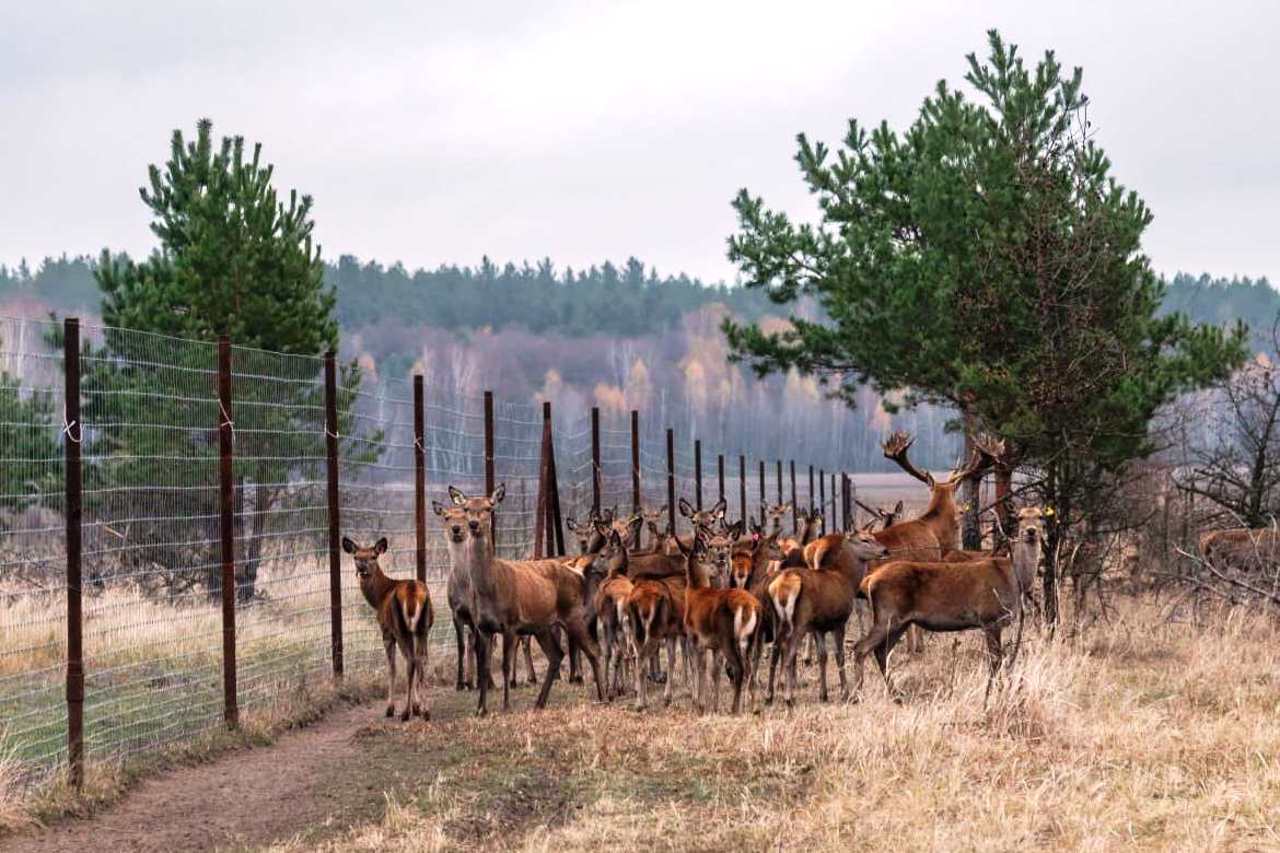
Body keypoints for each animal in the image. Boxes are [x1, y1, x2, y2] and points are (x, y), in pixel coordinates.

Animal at [340, 535, 435, 722]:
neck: (379, 598)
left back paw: (405, 712)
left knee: (410, 661)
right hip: (422, 628)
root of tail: (413, 592)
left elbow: (391, 668)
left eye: (373, 556)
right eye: (356, 556)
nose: (361, 567)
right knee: (421, 659)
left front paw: (390, 708)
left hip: (400, 628)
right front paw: (418, 707)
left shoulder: (386, 632)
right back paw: (426, 711)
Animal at [435, 481, 604, 712]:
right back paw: (539, 703)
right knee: (557, 655)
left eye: (489, 507)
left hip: (574, 615)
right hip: (542, 626)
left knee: (593, 650)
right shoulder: (483, 627)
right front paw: (481, 709)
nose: (472, 524)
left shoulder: (510, 623)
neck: (490, 587)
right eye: (467, 508)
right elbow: (485, 665)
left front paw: (506, 705)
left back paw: (604, 696)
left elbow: (505, 665)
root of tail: (576, 572)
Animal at [675, 522, 762, 712]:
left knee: (739, 668)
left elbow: (699, 669)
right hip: (750, 639)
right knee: (750, 669)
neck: (694, 592)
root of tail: (750, 606)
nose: (721, 560)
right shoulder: (714, 647)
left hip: (728, 637)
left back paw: (735, 709)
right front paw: (713, 706)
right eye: (710, 548)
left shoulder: (696, 638)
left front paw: (700, 705)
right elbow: (714, 672)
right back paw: (753, 707)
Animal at [768, 527, 890, 701]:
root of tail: (781, 588)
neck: (847, 580)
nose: (884, 550)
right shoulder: (839, 621)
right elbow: (839, 655)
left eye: (873, 536)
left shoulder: (819, 626)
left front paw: (823, 694)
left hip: (777, 620)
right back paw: (788, 696)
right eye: (864, 540)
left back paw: (769, 695)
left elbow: (822, 656)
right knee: (789, 652)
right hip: (799, 621)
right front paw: (845, 692)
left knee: (775, 649)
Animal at [849, 502, 1039, 701]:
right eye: (1020, 517)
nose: (1031, 531)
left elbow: (998, 660)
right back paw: (857, 694)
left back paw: (896, 693)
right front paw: (994, 692)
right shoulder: (990, 618)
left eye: (1040, 516)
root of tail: (869, 580)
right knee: (860, 648)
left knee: (880, 651)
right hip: (887, 615)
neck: (1017, 580)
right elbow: (996, 660)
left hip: (900, 621)